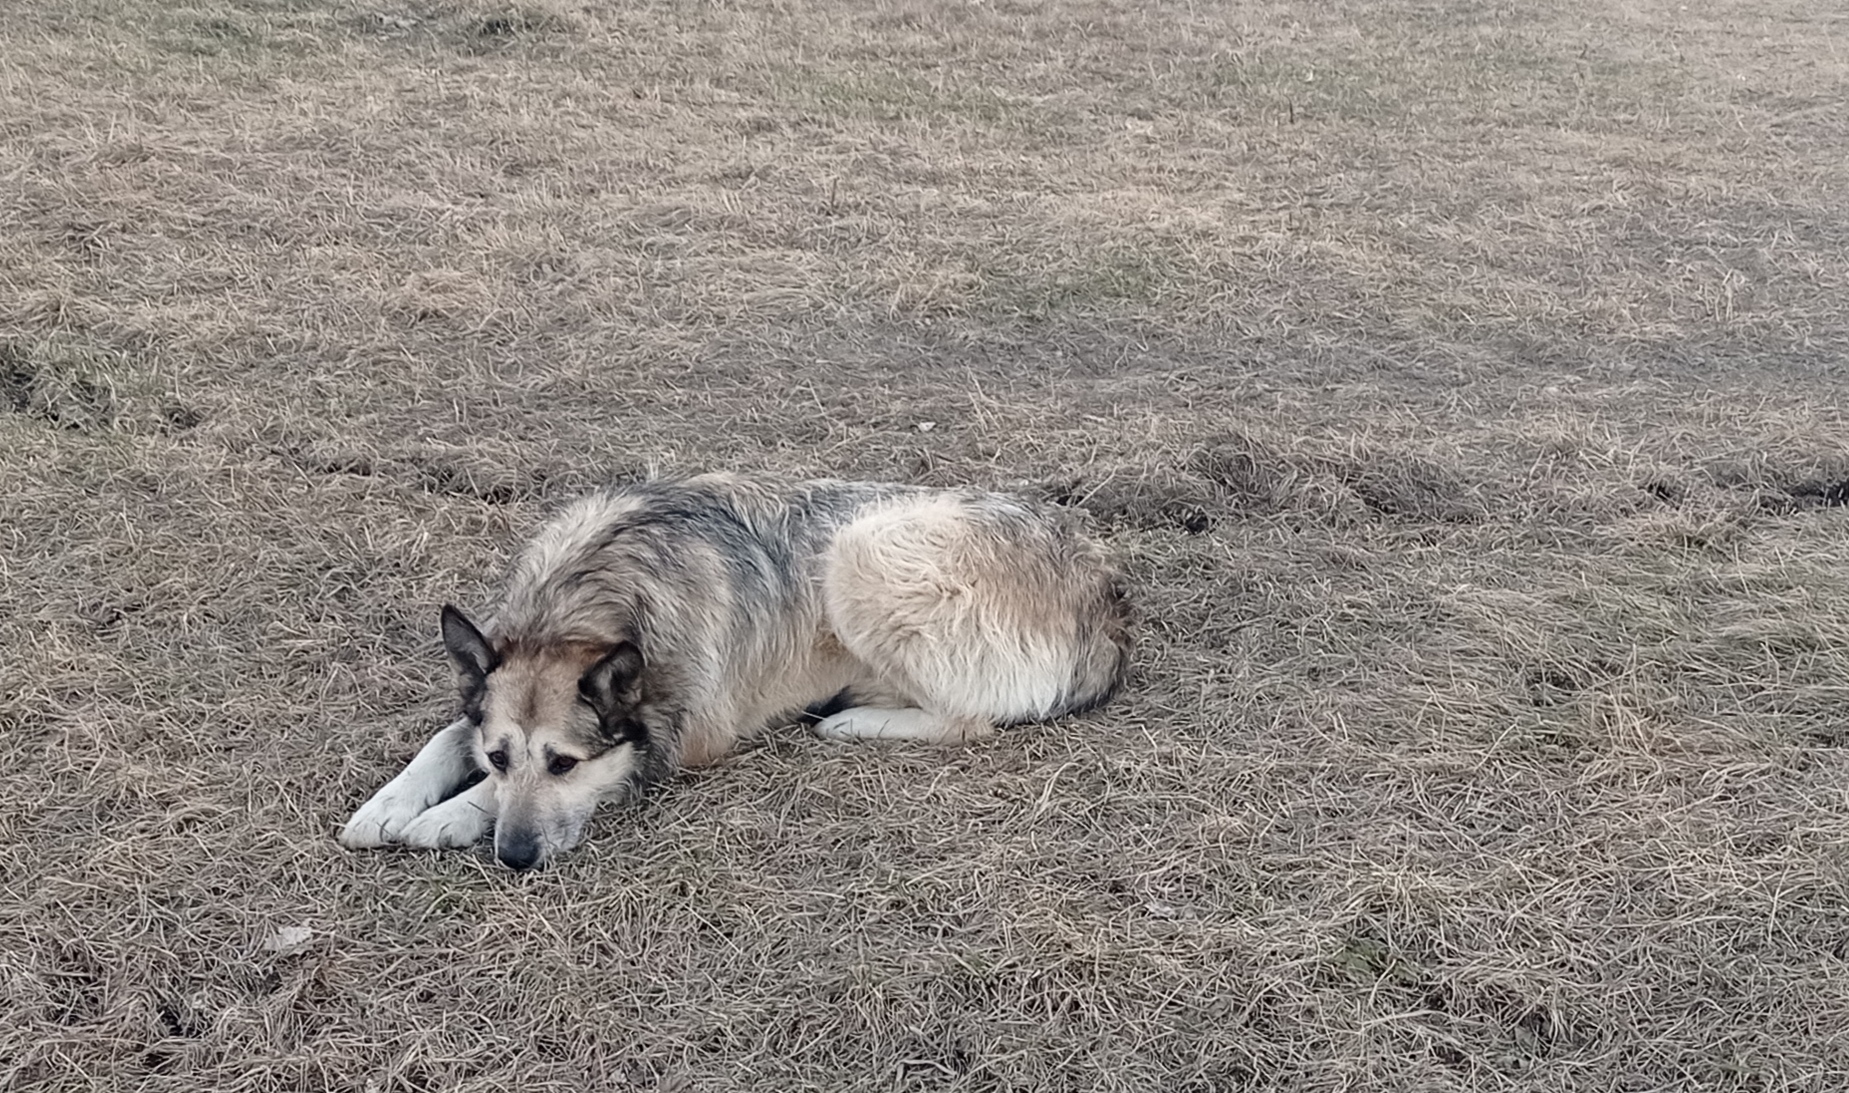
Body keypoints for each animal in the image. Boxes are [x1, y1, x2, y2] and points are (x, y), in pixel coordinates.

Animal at [340, 473, 1131, 872]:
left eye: (563, 764)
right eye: (501, 756)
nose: (514, 857)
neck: (580, 608)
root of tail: (1107, 592)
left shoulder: (682, 734)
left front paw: (446, 816)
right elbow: (448, 737)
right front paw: (388, 804)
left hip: (864, 550)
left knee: (969, 719)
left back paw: (852, 719)